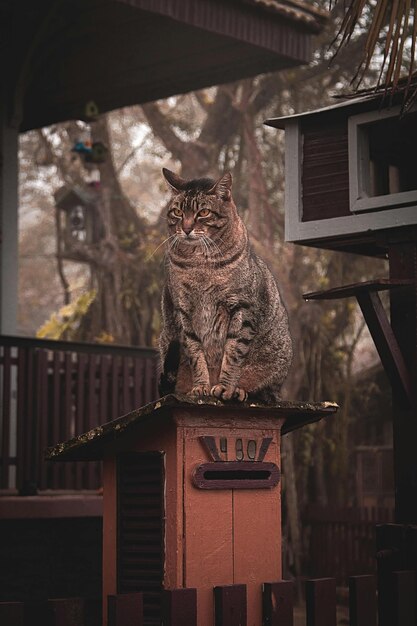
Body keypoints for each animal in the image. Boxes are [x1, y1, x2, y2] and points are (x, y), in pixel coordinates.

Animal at [158, 166, 290, 402]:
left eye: (203, 213)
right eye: (178, 213)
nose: (186, 228)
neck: (200, 263)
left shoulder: (241, 307)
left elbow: (233, 352)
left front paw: (225, 387)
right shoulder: (184, 312)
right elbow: (195, 353)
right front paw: (201, 386)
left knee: (264, 391)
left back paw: (241, 390)